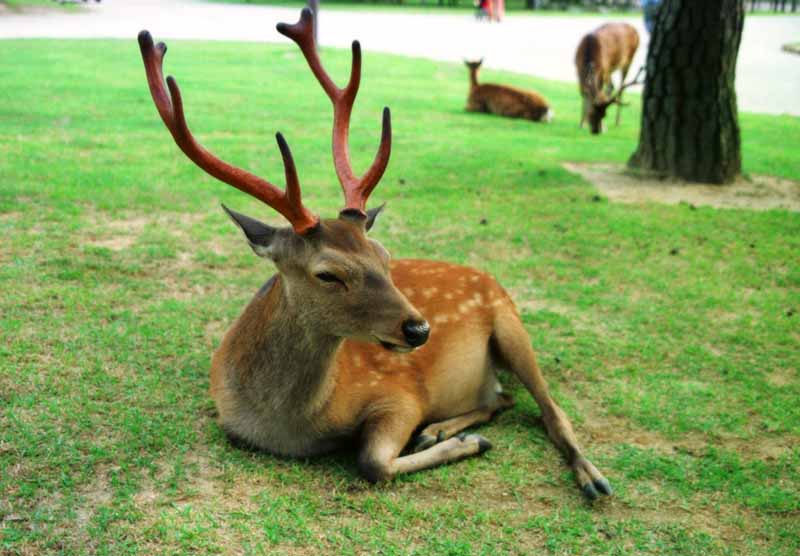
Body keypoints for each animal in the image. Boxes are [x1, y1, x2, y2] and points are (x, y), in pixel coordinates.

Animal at [138, 7, 612, 504]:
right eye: (327, 274)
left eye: (385, 255)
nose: (420, 328)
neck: (288, 425)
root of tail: (488, 276)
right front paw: (459, 439)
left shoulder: (400, 391)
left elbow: (372, 461)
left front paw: (469, 445)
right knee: (503, 397)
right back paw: (445, 429)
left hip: (511, 324)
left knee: (549, 408)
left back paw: (590, 476)